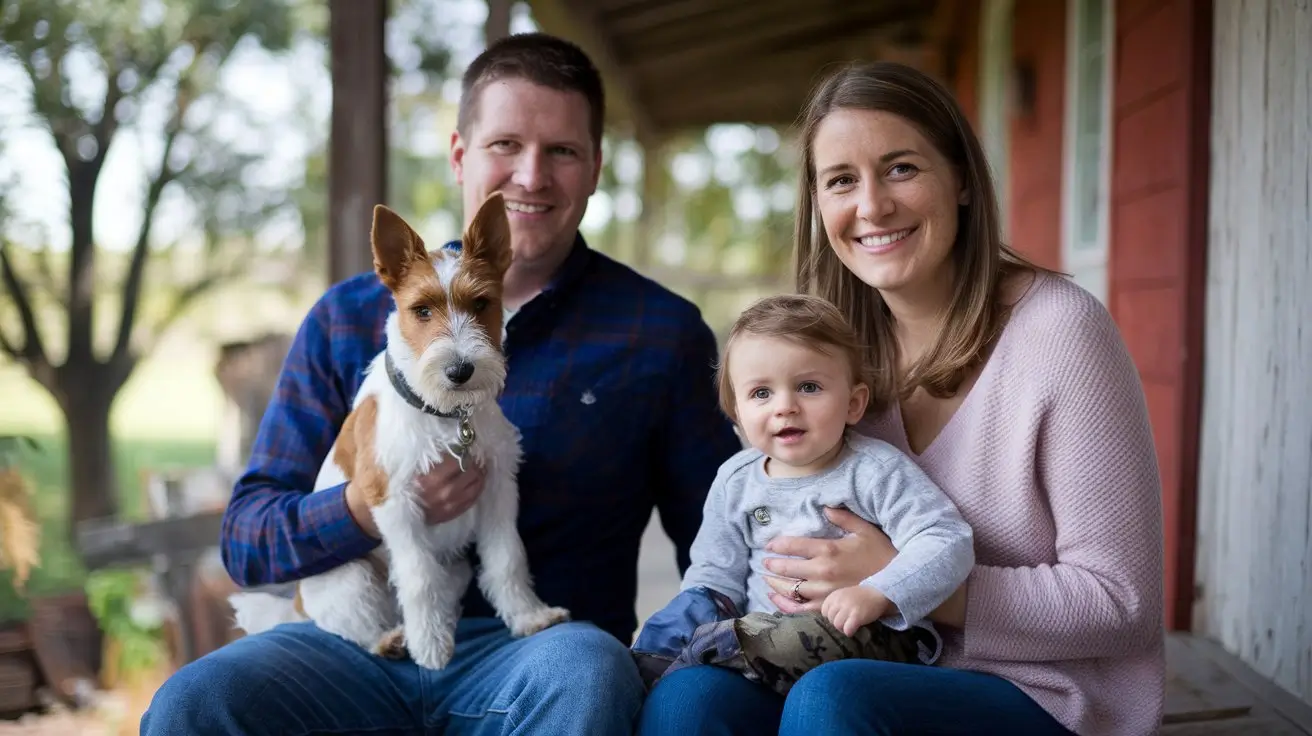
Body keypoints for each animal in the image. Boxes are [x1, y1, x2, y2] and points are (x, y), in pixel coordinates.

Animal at [230, 188, 569, 666]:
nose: (460, 370)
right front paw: (429, 648)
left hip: (456, 566)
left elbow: (507, 558)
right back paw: (393, 639)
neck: (445, 416)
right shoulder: (395, 501)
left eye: (481, 303)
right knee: (351, 623)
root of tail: (295, 604)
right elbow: (418, 577)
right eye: (421, 310)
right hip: (352, 577)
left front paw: (528, 617)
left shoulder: (498, 489)